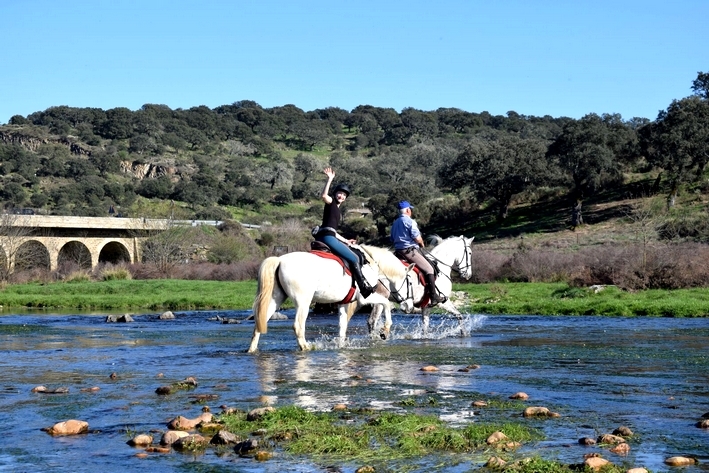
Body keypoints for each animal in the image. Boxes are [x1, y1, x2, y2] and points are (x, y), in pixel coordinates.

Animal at [248, 247, 392, 350]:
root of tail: (280, 260)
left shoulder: (344, 304)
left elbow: (342, 327)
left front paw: (341, 346)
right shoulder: (365, 298)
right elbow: (386, 303)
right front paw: (385, 330)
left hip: (276, 299)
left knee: (260, 322)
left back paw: (252, 350)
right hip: (303, 303)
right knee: (298, 326)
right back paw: (306, 347)